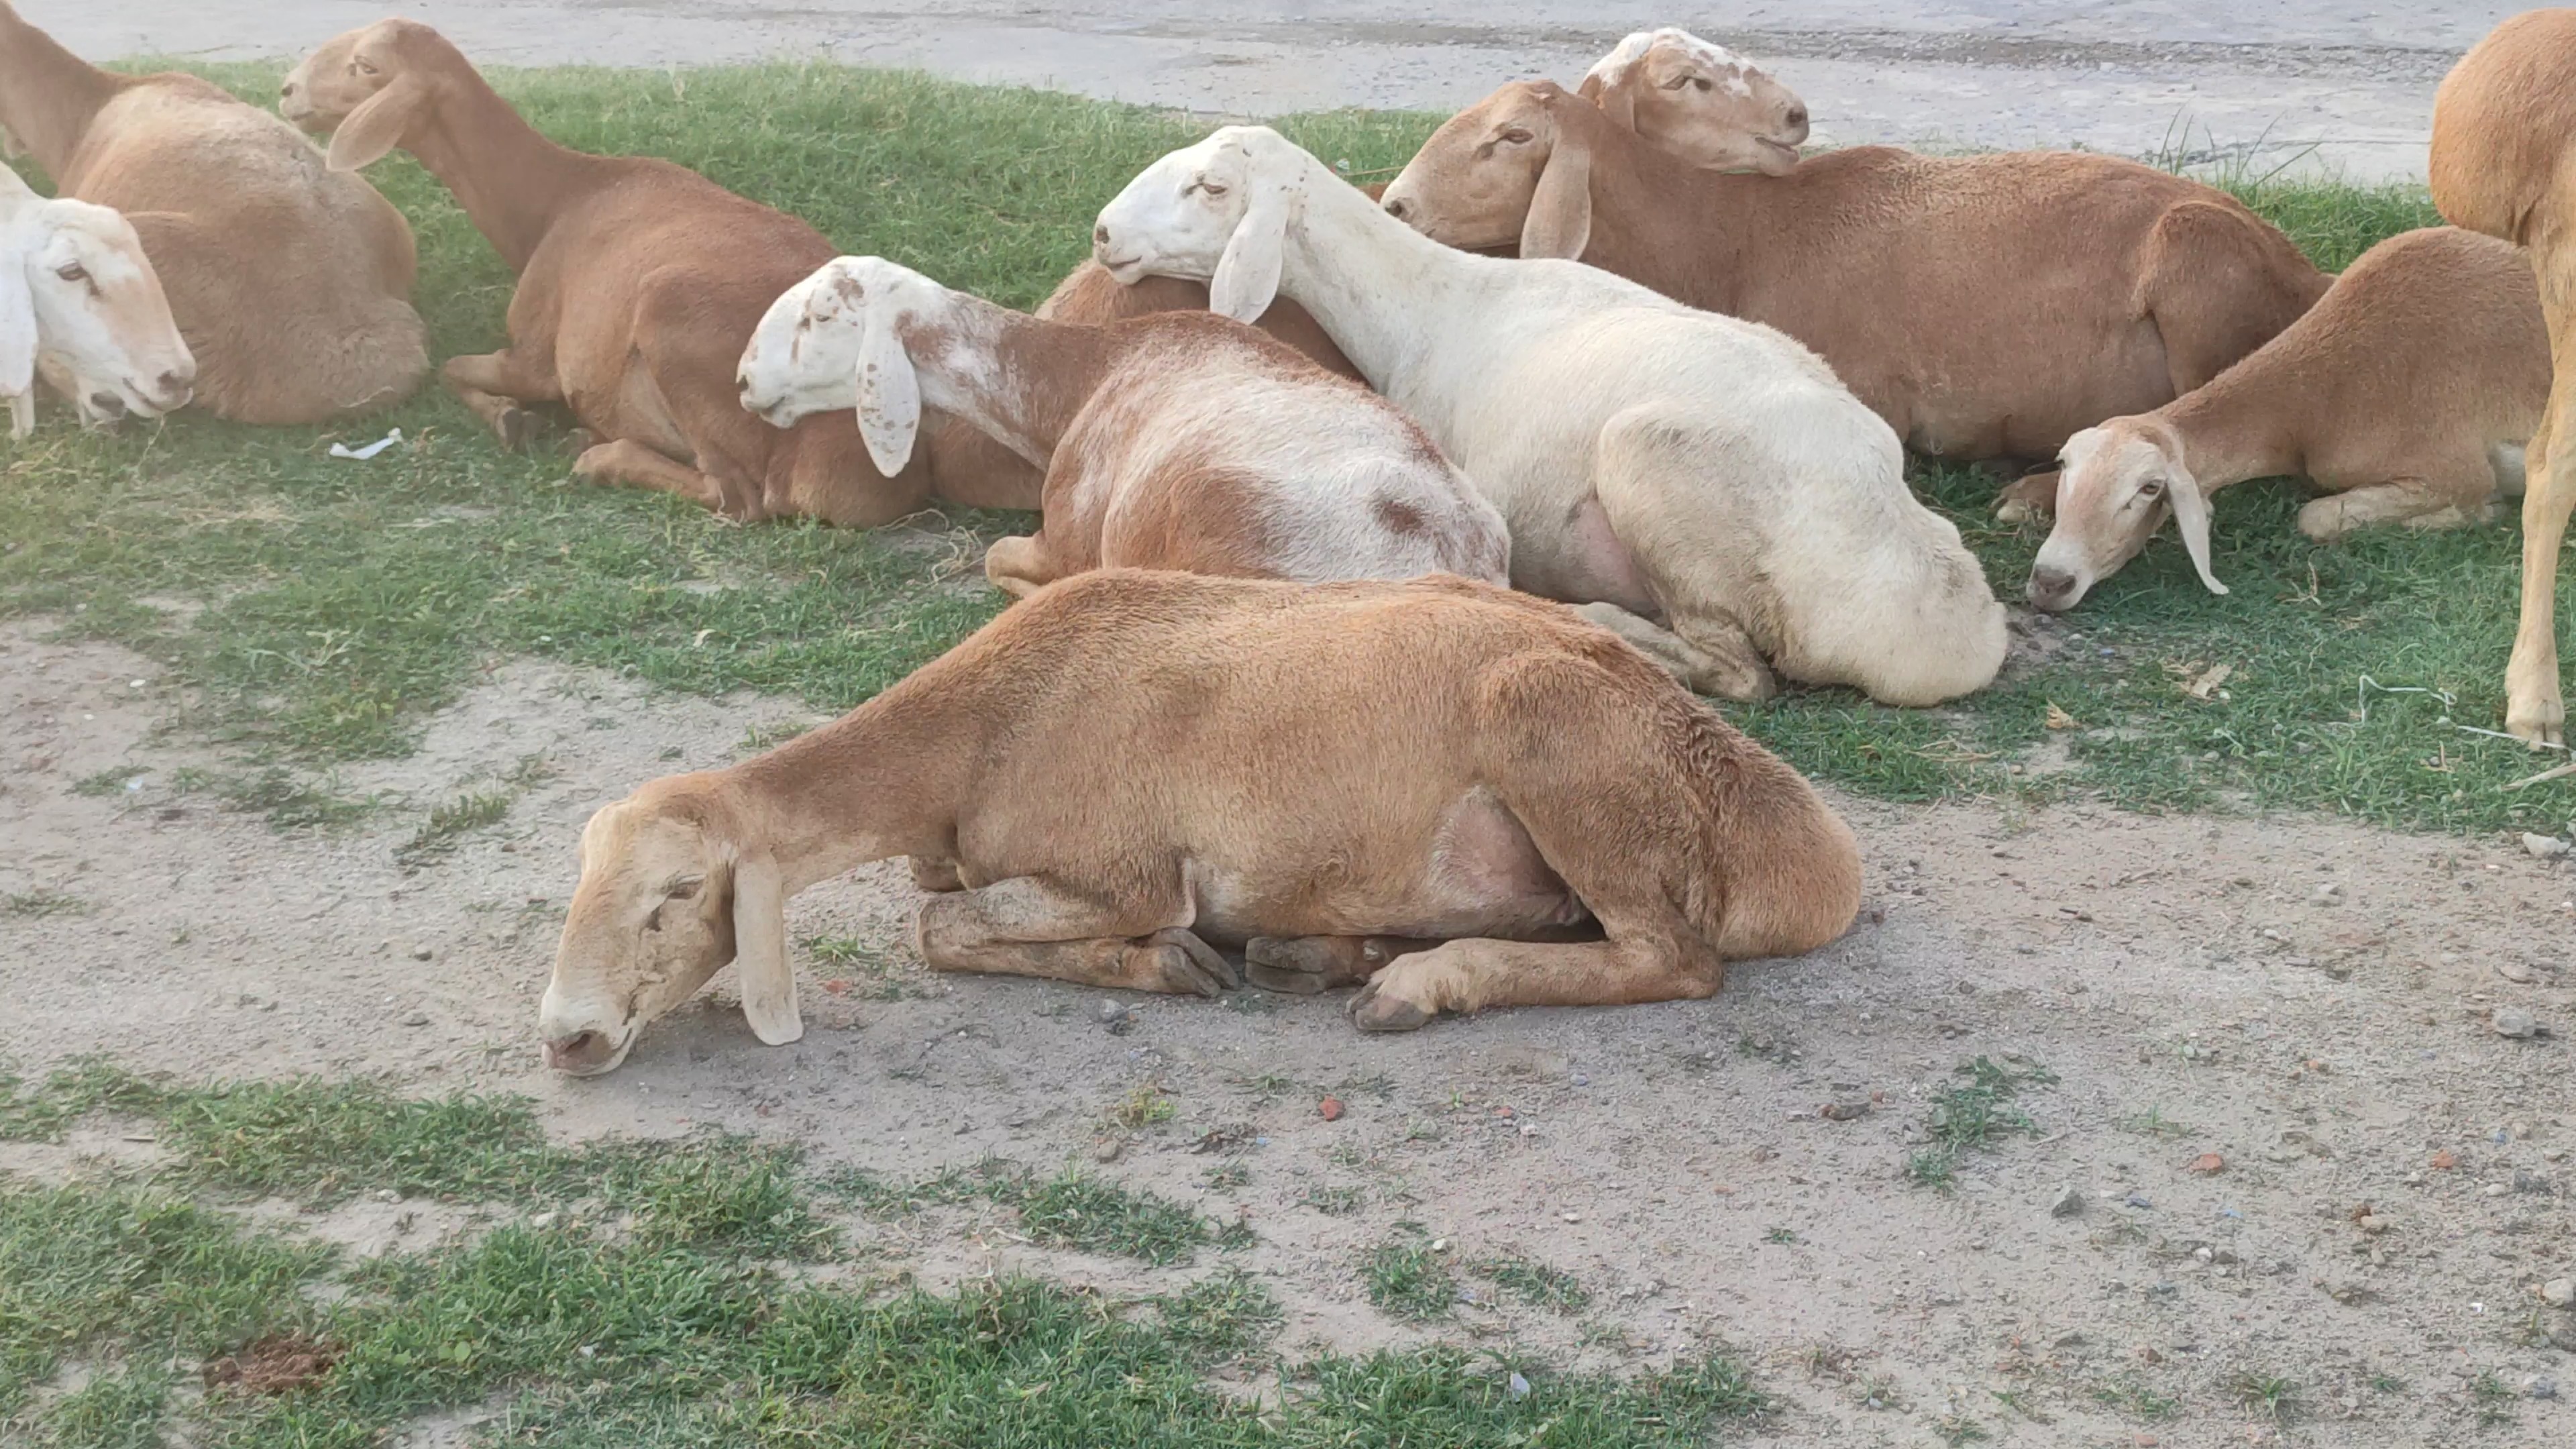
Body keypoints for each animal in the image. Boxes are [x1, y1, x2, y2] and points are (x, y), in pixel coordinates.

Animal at [280, 18, 1038, 523]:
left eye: (365, 67)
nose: (285, 91)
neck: (557, 201)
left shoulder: (540, 350)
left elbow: (455, 368)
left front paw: (513, 422)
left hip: (679, 324)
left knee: (743, 497)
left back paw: (598, 455)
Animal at [538, 568, 1862, 1072]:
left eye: (674, 897)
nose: (567, 1036)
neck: (970, 740)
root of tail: (1801, 852)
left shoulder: (1124, 865)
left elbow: (945, 925)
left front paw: (1164, 963)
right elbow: (944, 914)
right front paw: (1184, 963)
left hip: (1560, 737)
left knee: (1670, 958)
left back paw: (1413, 985)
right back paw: (1323, 954)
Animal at [738, 255, 1510, 594]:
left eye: (819, 316)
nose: (744, 382)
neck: (1084, 380)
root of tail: (1450, 556)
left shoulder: (1068, 536)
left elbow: (999, 560)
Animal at [1091, 125, 2006, 707]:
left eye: (1211, 187)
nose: (1102, 233)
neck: (1432, 307)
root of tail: (1941, 627)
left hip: (1651, 464)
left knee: (1743, 670)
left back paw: (1603, 620)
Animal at [2023, 228, 2546, 612]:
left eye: (2149, 488)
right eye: (2064, 464)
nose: (2051, 581)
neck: (2316, 399)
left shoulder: (2451, 469)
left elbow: (2313, 517)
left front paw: (2485, 511)